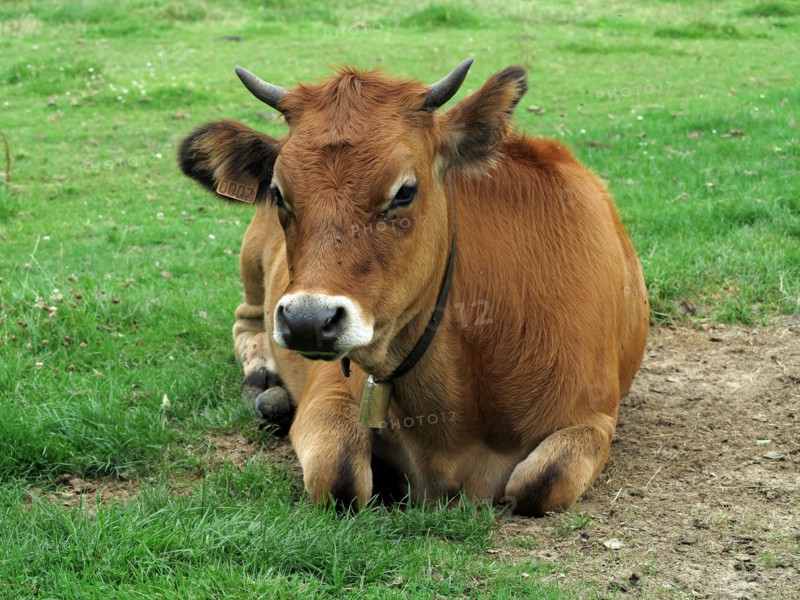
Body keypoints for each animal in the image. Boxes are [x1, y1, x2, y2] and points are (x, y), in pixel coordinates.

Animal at [178, 58, 649, 516]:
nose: (308, 321)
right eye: (278, 193)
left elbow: (542, 483)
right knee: (247, 324)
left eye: (404, 191)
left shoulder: (592, 417)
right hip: (254, 276)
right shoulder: (329, 389)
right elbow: (340, 477)